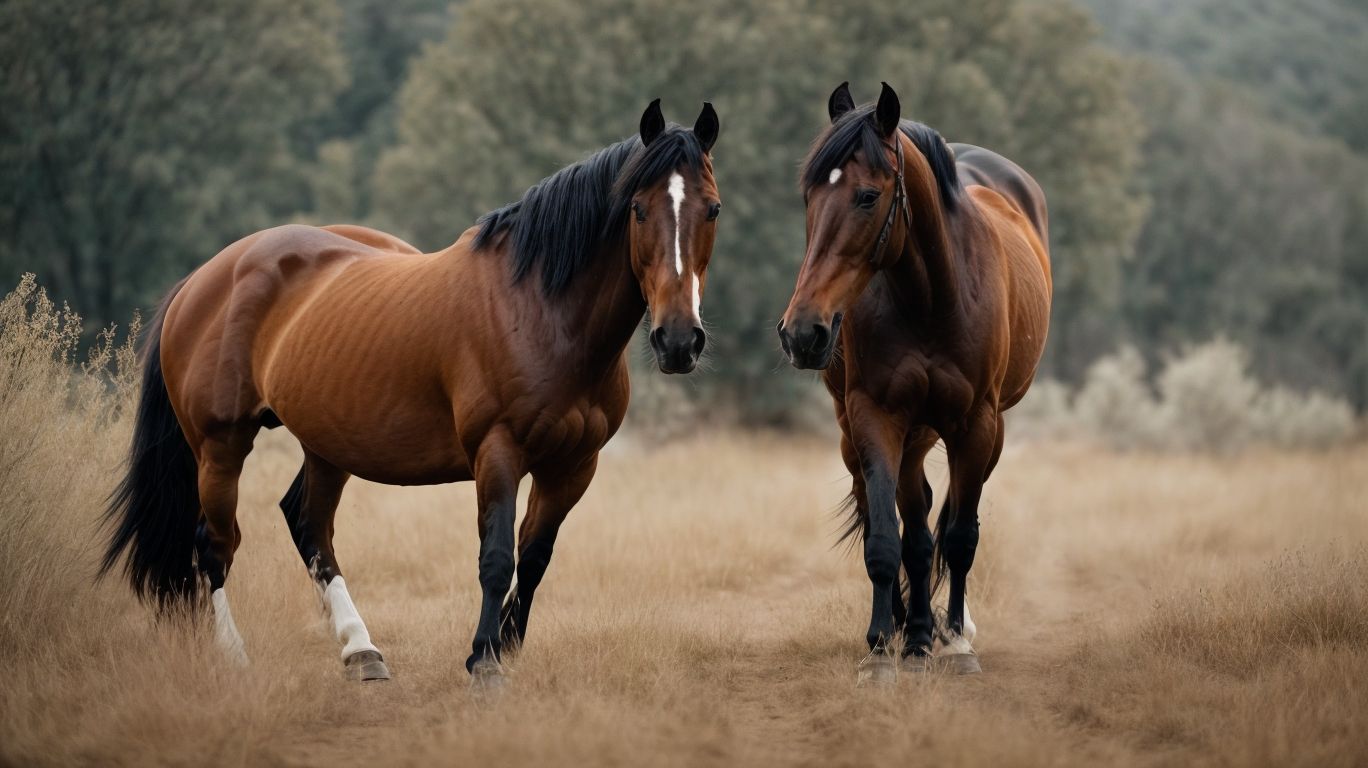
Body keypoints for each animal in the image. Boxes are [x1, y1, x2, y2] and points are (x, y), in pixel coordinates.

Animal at [100, 99, 723, 686]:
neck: (543, 311)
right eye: (637, 209)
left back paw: (361, 651)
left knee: (308, 525)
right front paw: (484, 661)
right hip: (220, 445)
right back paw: (235, 657)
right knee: (214, 543)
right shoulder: (498, 452)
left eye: (712, 208)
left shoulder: (573, 465)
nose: (677, 341)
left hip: (326, 445)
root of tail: (205, 277)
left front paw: (506, 647)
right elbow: (497, 558)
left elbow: (535, 558)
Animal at [778, 82, 1051, 684]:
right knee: (906, 524)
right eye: (809, 195)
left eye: (866, 196)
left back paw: (940, 630)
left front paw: (956, 643)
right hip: (881, 433)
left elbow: (960, 535)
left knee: (941, 524)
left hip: (973, 432)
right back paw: (912, 629)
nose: (803, 332)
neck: (933, 297)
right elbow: (887, 538)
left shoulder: (975, 425)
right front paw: (882, 645)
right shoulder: (877, 417)